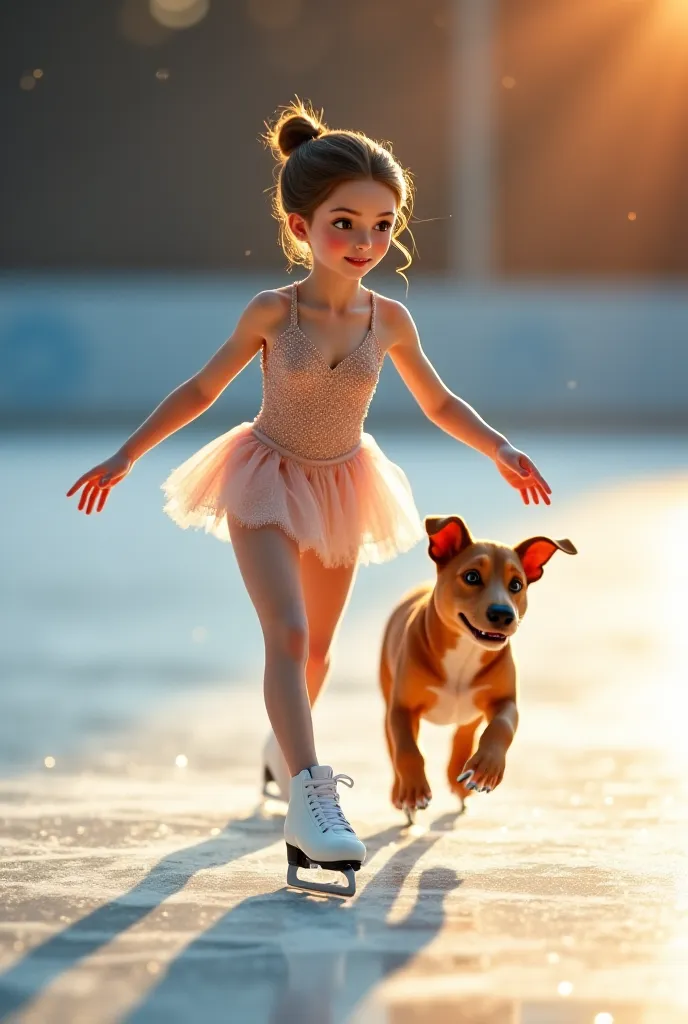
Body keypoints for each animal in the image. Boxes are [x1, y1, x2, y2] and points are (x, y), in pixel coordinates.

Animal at [378, 516, 577, 819]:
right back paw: (400, 795)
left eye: (516, 585)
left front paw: (486, 768)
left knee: (464, 735)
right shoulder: (402, 707)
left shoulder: (504, 701)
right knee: (393, 745)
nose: (503, 614)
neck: (464, 652)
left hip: (468, 713)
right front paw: (412, 791)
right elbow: (407, 748)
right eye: (472, 577)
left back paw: (459, 780)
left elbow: (501, 727)